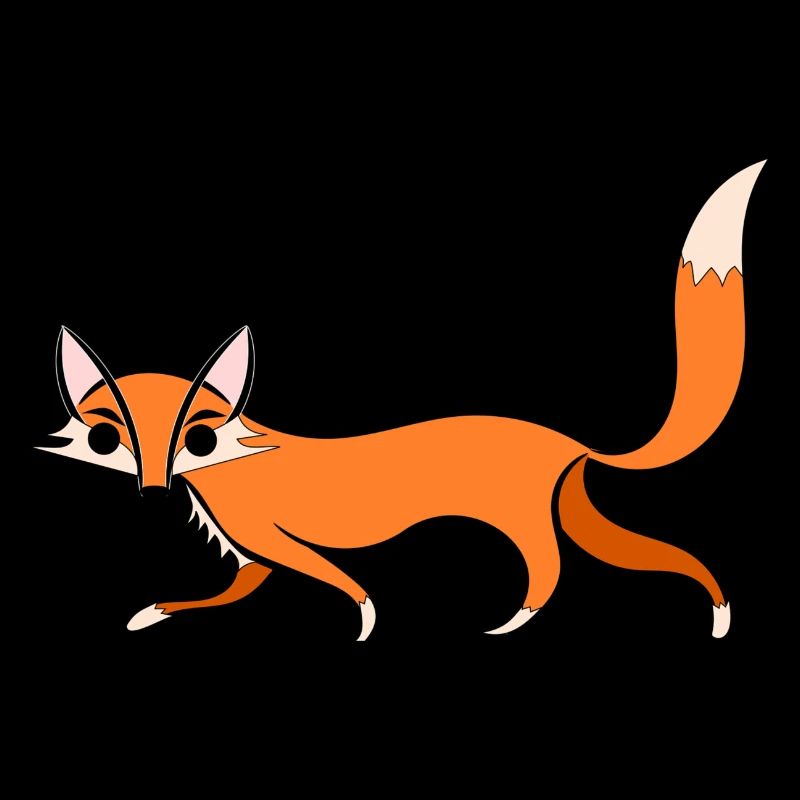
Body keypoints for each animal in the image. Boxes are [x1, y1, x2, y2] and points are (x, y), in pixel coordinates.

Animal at [38, 161, 764, 641]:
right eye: (106, 440)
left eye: (198, 438)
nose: (154, 490)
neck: (231, 462)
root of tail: (571, 442)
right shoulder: (250, 559)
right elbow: (216, 595)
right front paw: (149, 613)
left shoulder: (272, 540)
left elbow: (344, 584)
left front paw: (364, 618)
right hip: (578, 514)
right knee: (662, 558)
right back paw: (718, 611)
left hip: (526, 522)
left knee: (551, 570)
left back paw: (512, 621)